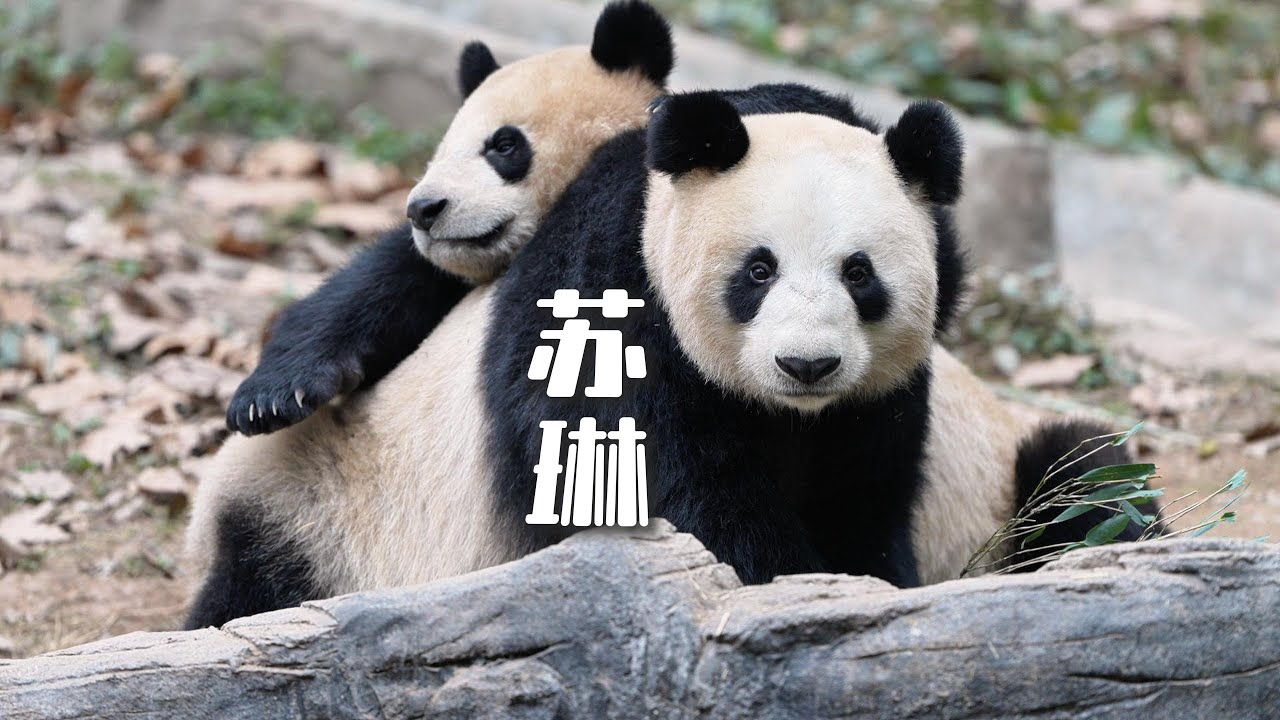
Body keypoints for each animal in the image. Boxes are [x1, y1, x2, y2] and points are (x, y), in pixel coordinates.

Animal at [186, 83, 1142, 627]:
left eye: (860, 274)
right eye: (757, 270)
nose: (808, 367)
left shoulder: (886, 402)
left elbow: (866, 496)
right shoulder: (615, 307)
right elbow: (687, 503)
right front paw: (786, 586)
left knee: (1083, 472)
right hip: (327, 505)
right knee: (264, 574)